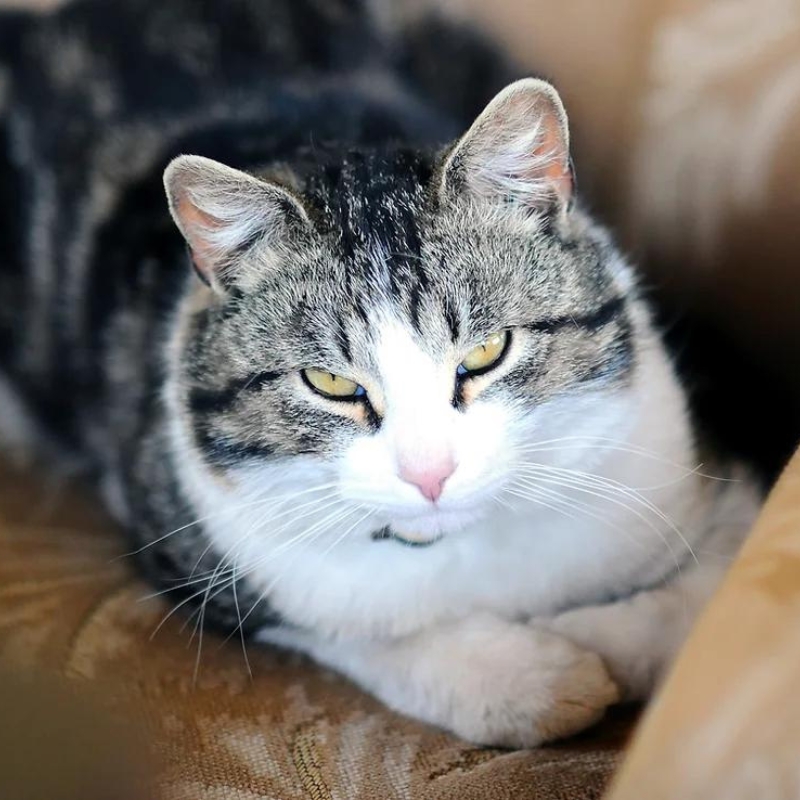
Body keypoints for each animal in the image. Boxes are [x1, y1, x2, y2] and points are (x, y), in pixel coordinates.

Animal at [1, 0, 764, 748]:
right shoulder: (202, 549)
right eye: (331, 384)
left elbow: (702, 614)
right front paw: (533, 678)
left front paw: (593, 638)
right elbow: (360, 632)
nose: (430, 475)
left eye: (487, 352)